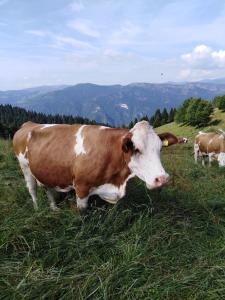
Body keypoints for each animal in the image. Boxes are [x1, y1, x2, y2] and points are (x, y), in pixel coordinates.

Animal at [12, 120, 183, 210]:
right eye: (136, 149)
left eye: (160, 148)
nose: (162, 179)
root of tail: (29, 124)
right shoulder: (81, 188)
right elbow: (82, 213)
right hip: (25, 167)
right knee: (32, 189)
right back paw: (37, 209)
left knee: (47, 188)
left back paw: (54, 208)